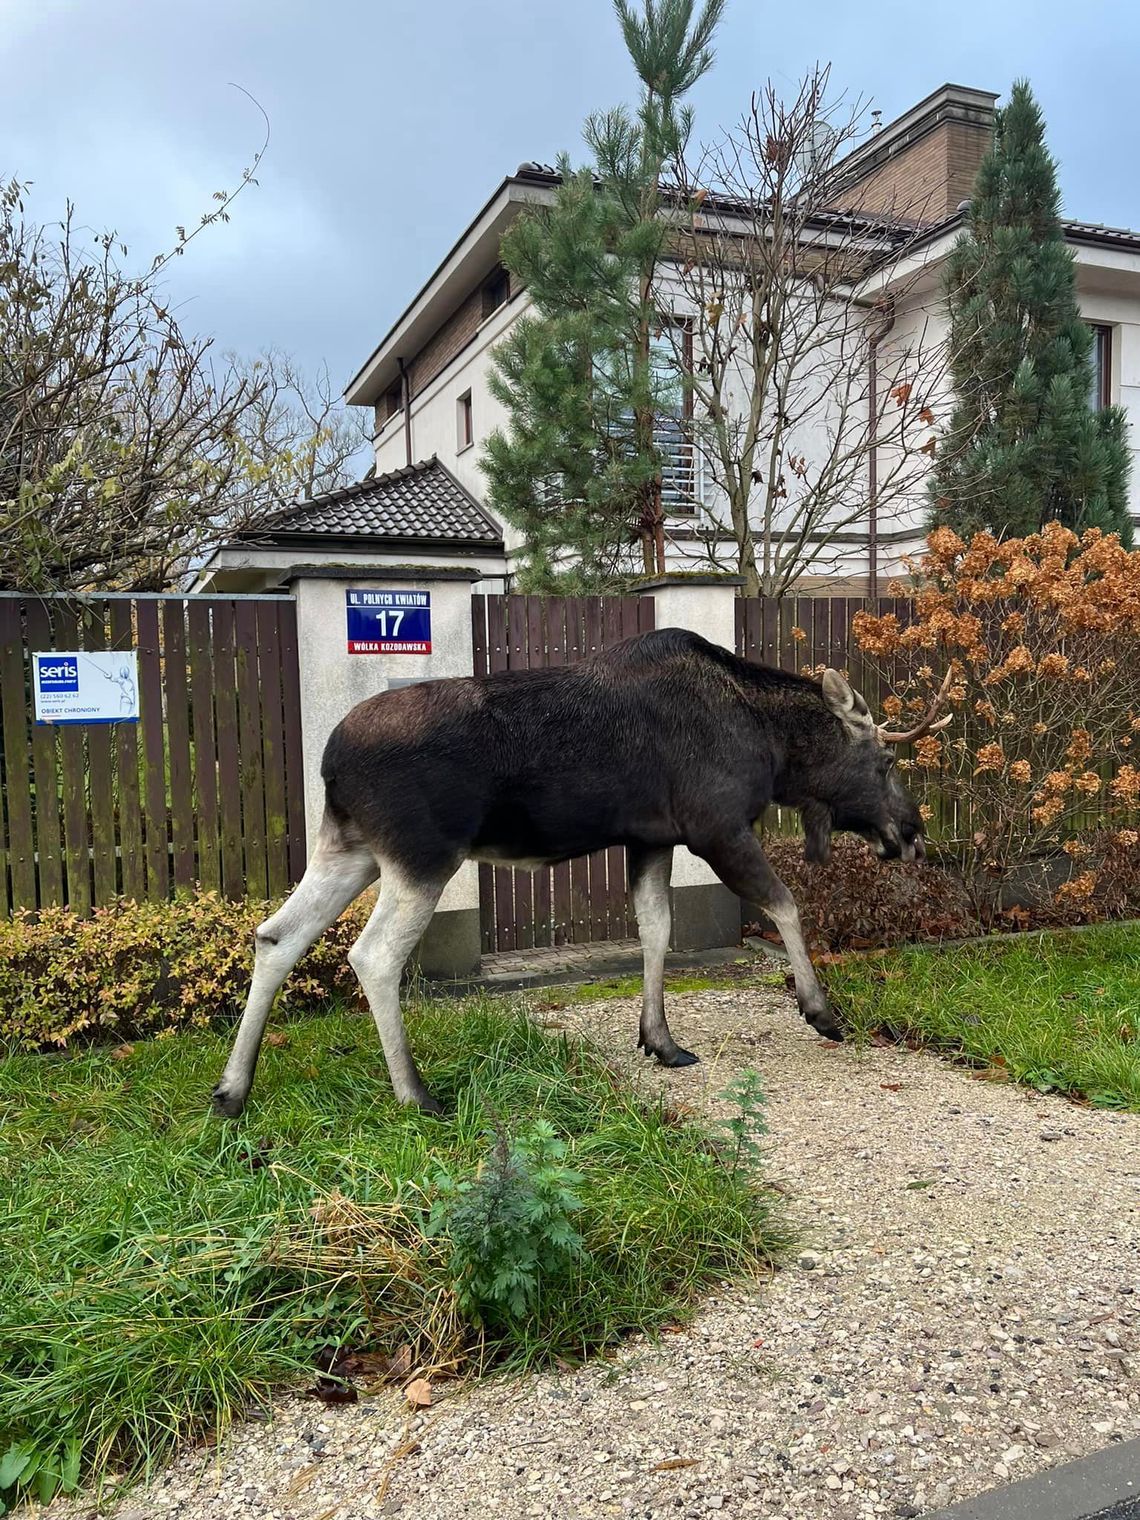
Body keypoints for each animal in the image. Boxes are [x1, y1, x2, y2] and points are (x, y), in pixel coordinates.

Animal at [209, 626, 948, 1118]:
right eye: (885, 761)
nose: (912, 832)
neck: (775, 750)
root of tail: (329, 760)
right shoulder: (717, 827)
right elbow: (787, 904)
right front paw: (819, 1010)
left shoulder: (650, 838)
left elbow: (655, 930)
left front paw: (661, 1041)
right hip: (421, 856)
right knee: (374, 956)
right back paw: (415, 1093)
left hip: (349, 848)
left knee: (275, 936)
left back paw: (232, 1091)